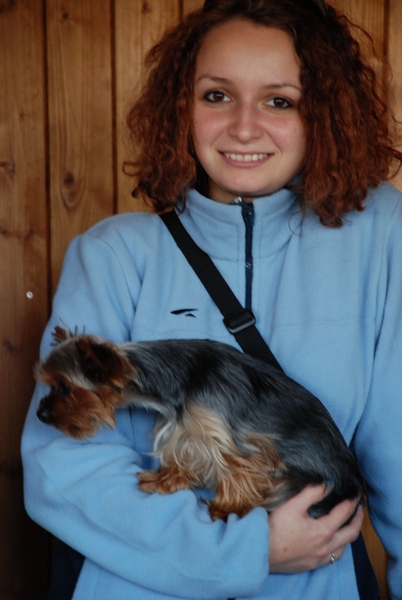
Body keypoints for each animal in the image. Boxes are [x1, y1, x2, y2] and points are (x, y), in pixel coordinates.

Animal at [35, 327, 365, 521]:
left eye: (64, 387)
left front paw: (226, 507)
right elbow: (182, 452)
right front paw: (165, 480)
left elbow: (233, 468)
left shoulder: (224, 432)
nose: (41, 415)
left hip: (300, 483)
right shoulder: (183, 423)